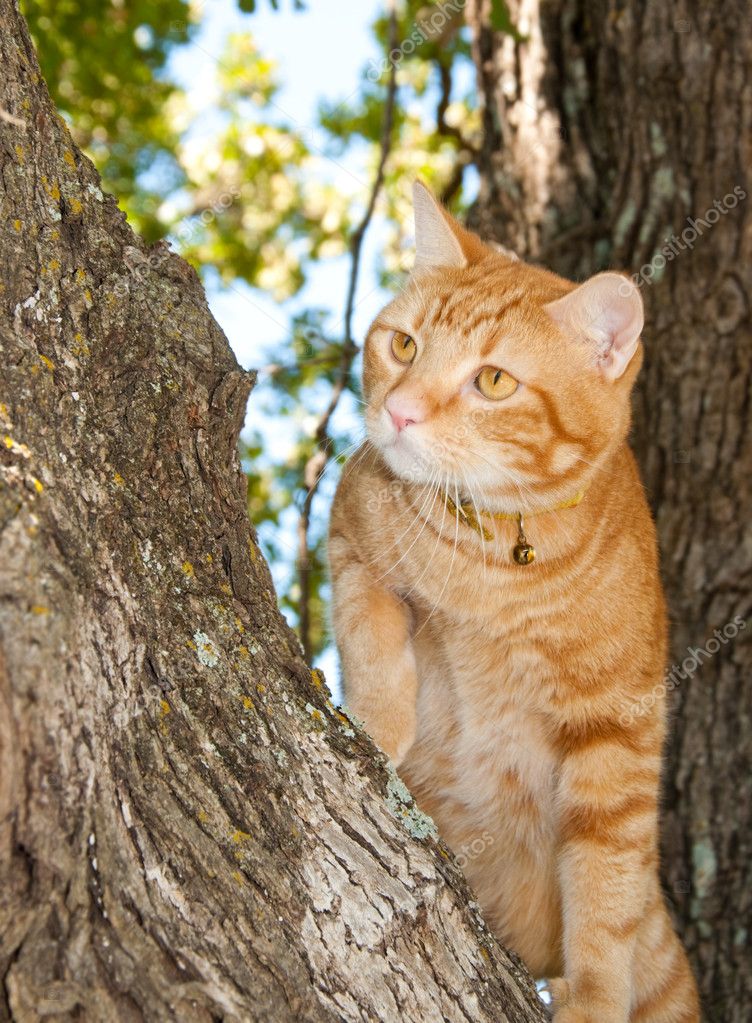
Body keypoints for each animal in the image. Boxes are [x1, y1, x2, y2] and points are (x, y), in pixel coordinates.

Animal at [329, 184, 699, 1023]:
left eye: (493, 382)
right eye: (403, 346)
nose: (398, 412)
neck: (493, 558)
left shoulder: (615, 731)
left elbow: (602, 888)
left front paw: (593, 999)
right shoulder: (353, 541)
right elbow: (374, 643)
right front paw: (377, 729)